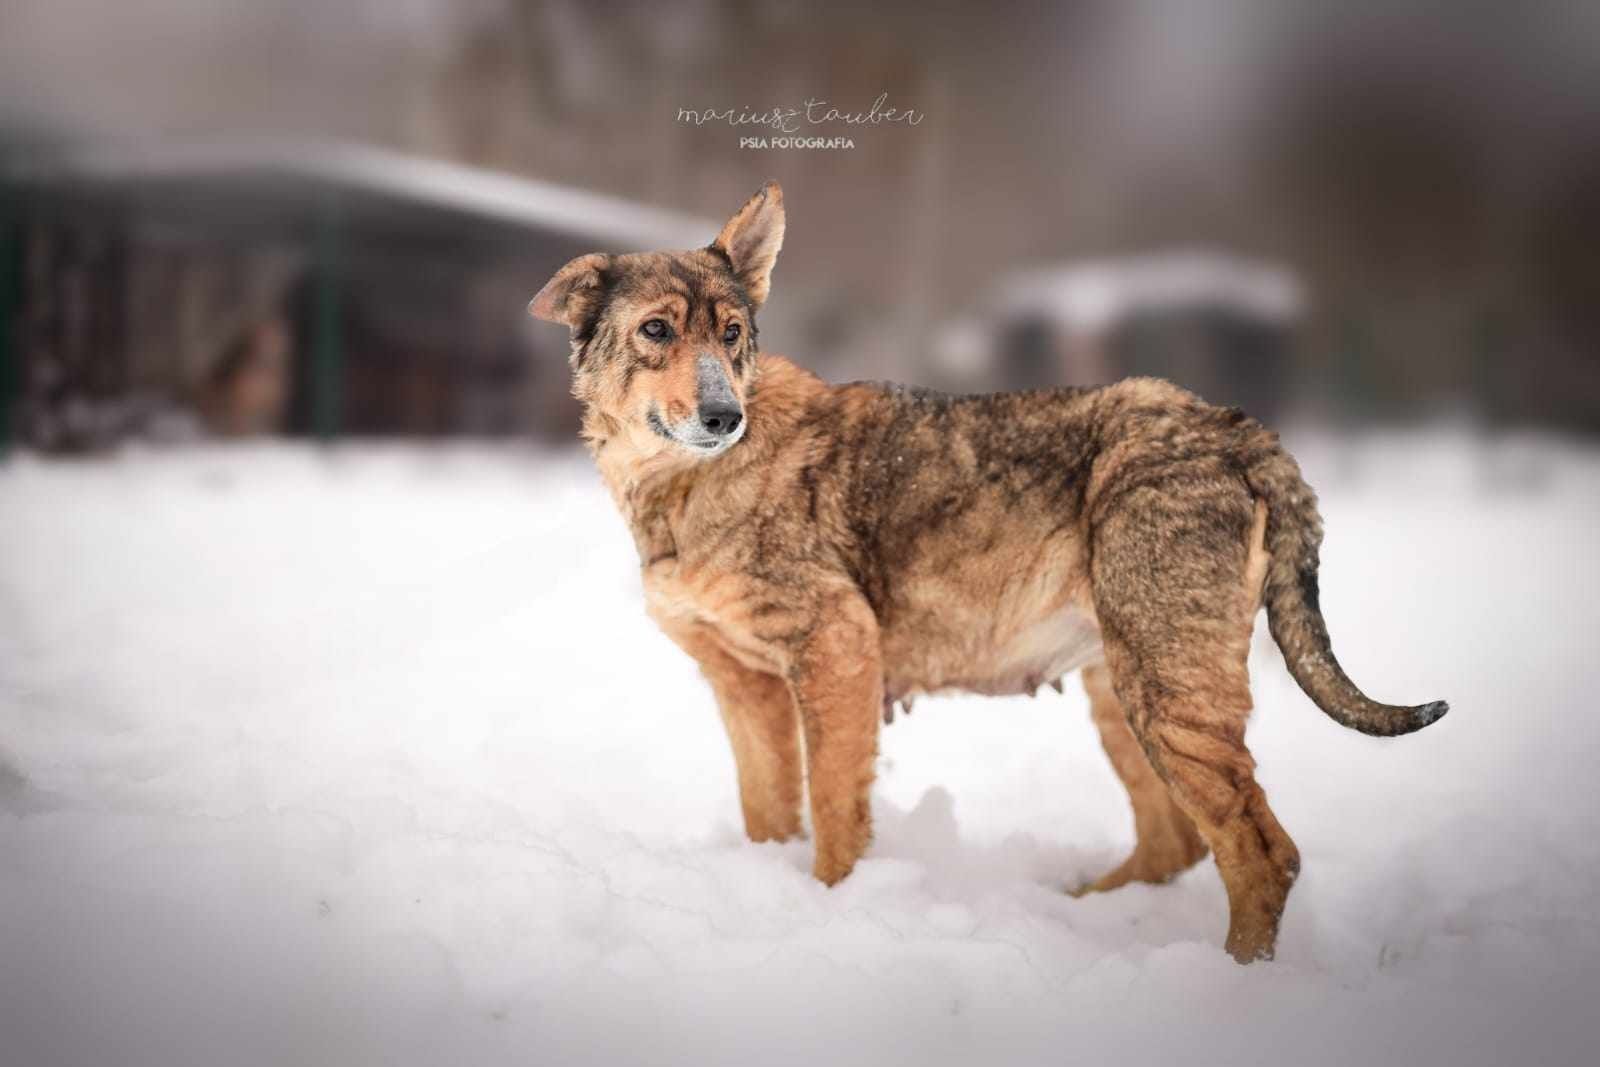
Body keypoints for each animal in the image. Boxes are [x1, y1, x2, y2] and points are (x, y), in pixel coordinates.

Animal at [528, 179, 1452, 966]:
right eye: (656, 331)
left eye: (731, 333)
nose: (726, 415)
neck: (682, 482)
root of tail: (1238, 429)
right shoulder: (744, 686)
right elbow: (770, 815)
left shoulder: (836, 650)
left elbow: (835, 817)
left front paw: (832, 911)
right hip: (1126, 690)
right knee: (1179, 840)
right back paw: (1091, 911)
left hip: (1165, 685)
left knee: (1262, 852)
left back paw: (1231, 982)